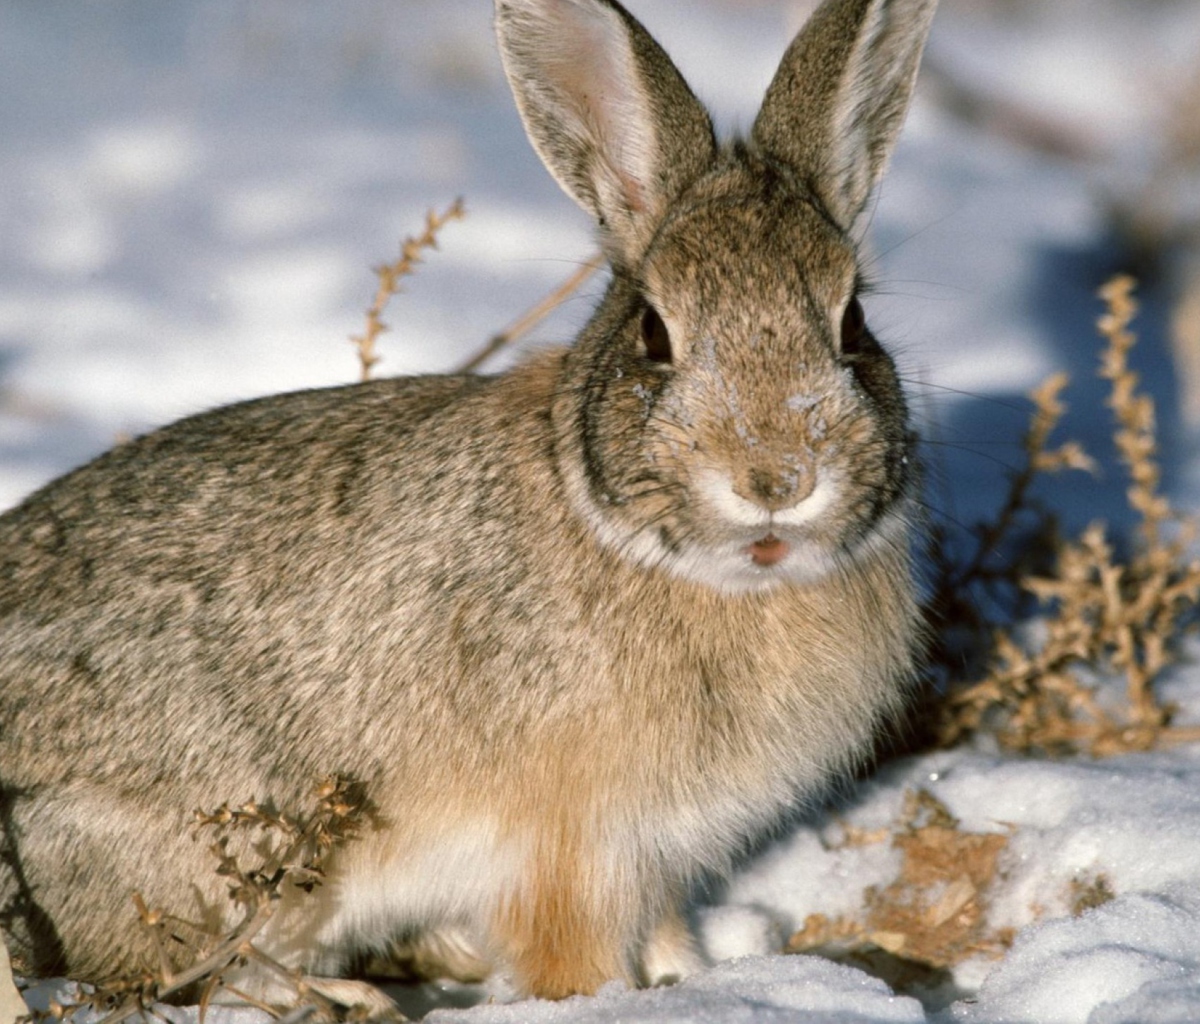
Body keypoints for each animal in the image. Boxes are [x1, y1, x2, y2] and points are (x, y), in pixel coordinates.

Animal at [0, 0, 936, 1008]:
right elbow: (570, 957)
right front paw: (606, 1001)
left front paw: (691, 977)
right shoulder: (569, 849)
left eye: (852, 324)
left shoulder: (654, 857)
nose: (777, 479)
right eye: (654, 333)